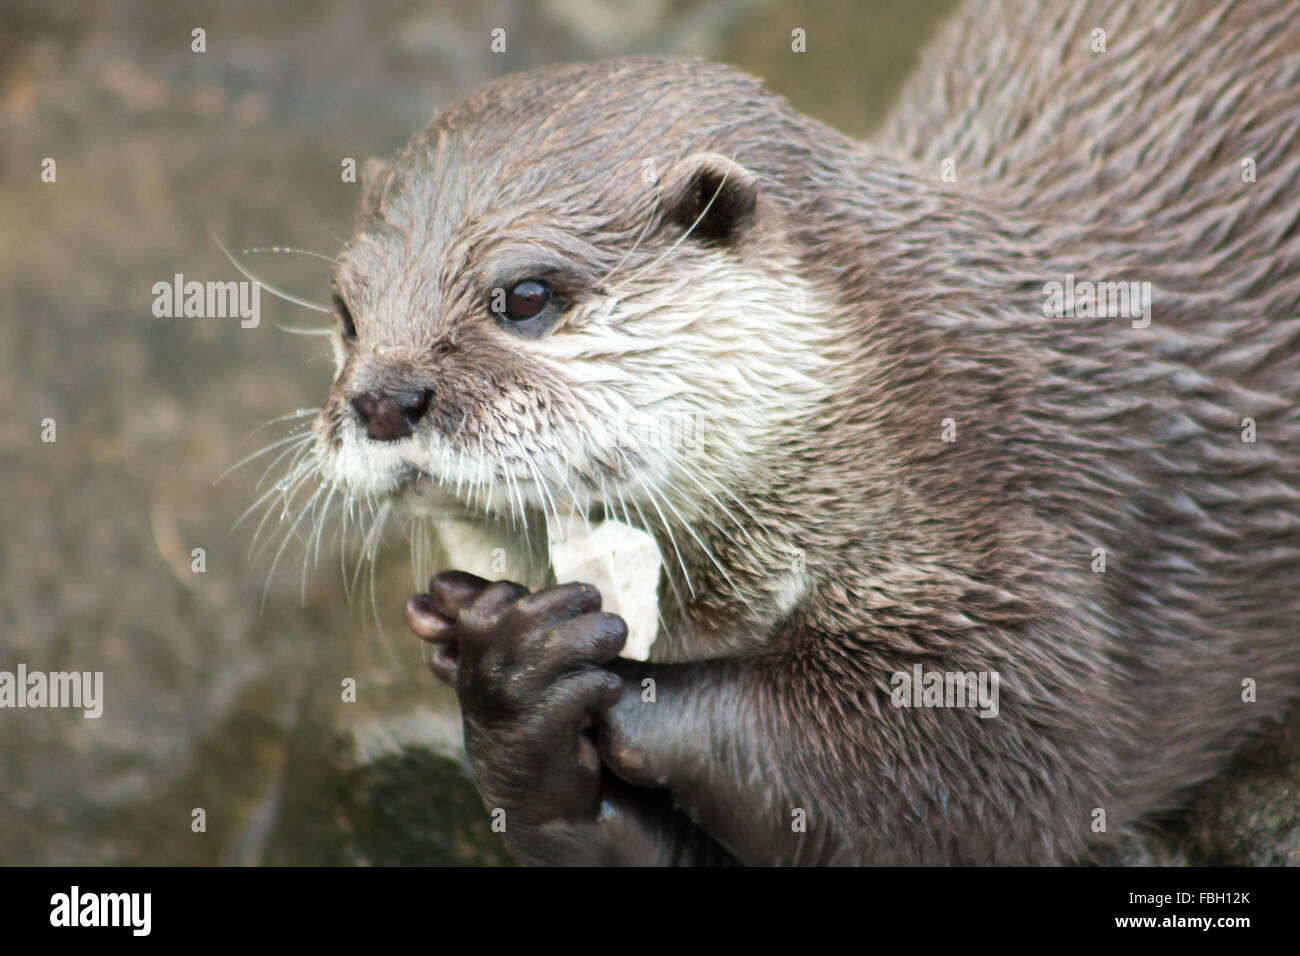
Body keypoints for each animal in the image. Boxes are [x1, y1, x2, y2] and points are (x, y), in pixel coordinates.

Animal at [304, 0, 1300, 864]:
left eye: (524, 296)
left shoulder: (1023, 546)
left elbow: (998, 763)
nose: (384, 397)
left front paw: (543, 662)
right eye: (346, 313)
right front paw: (504, 693)